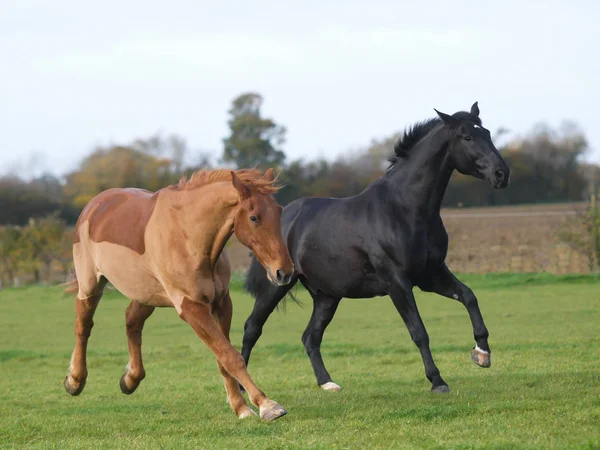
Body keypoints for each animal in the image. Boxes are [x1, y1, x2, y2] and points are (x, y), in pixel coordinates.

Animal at [62, 168, 292, 422]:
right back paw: (75, 380)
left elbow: (223, 358)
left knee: (132, 321)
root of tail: (94, 205)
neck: (188, 236)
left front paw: (240, 407)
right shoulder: (191, 307)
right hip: (90, 286)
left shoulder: (222, 303)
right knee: (83, 326)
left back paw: (130, 379)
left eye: (279, 213)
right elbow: (230, 356)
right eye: (254, 217)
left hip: (147, 295)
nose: (284, 272)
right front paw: (266, 405)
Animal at [241, 103, 508, 392]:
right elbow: (418, 331)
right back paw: (243, 387)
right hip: (276, 285)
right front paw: (437, 381)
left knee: (310, 337)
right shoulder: (397, 282)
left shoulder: (431, 275)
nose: (502, 174)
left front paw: (482, 354)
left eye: (487, 133)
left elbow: (469, 296)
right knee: (252, 328)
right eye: (467, 137)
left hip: (327, 295)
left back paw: (328, 384)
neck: (403, 209)